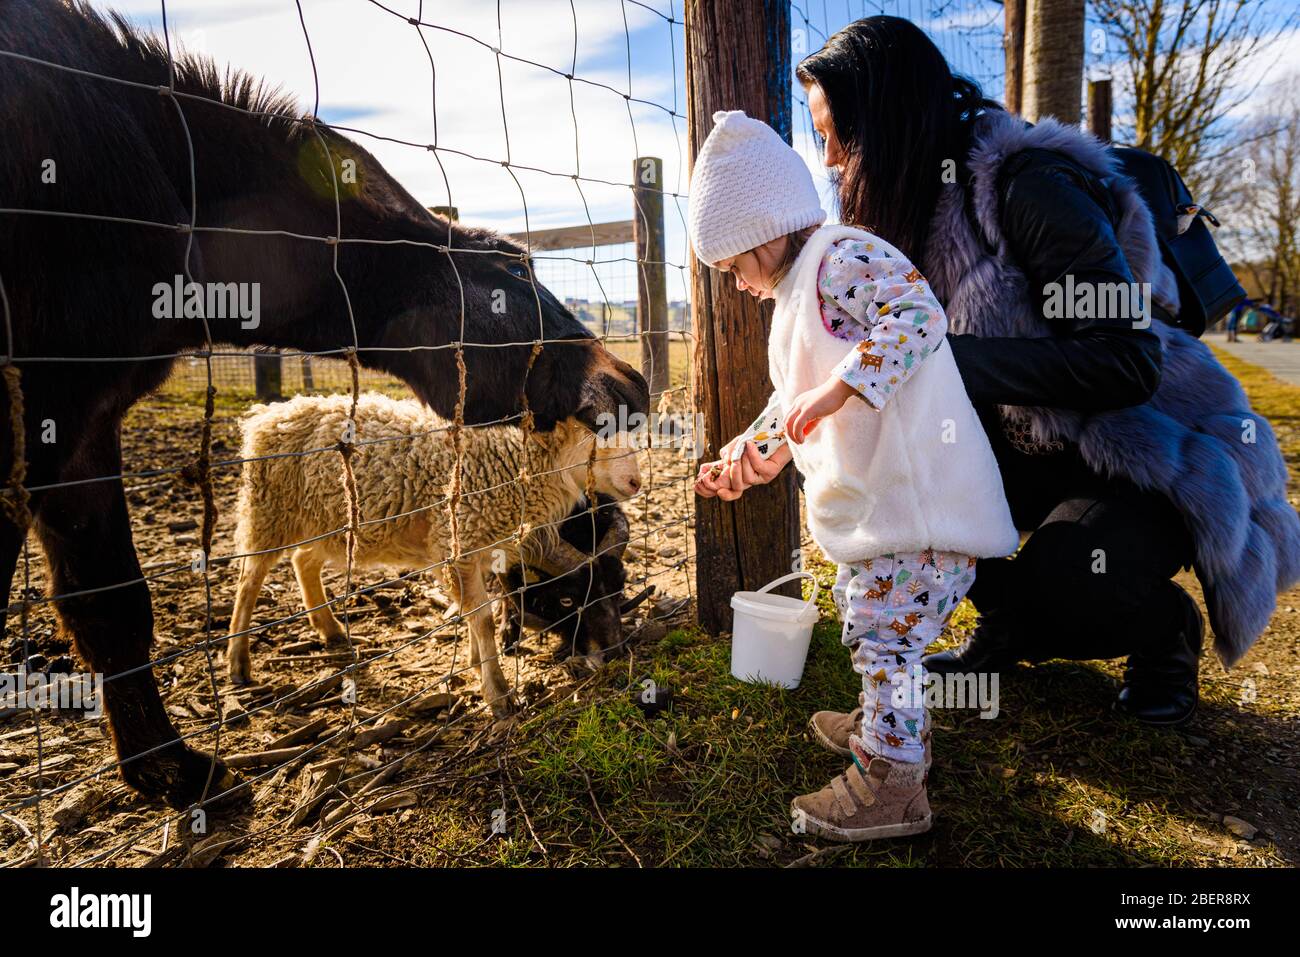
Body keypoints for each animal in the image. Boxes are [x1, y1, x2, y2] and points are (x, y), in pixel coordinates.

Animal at [230, 392, 644, 712]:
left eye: (619, 587)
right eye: (568, 601)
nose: (635, 481)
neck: (513, 464)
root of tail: (269, 414)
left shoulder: (480, 550)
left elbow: (477, 612)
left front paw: (476, 665)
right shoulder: (456, 544)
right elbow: (482, 618)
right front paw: (499, 696)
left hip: (326, 521)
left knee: (303, 560)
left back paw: (330, 630)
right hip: (269, 513)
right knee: (249, 580)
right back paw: (237, 662)